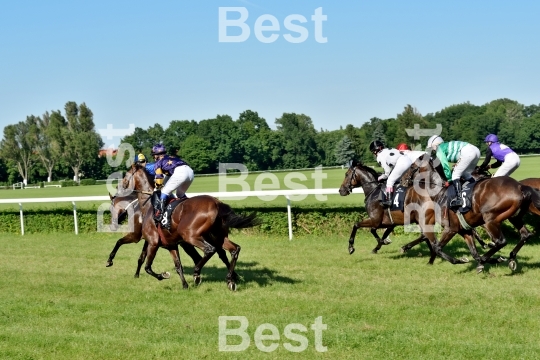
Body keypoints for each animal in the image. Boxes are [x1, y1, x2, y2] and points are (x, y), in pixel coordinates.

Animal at [106, 191, 237, 278]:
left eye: (110, 208)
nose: (112, 225)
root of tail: (217, 203)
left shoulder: (136, 236)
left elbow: (119, 242)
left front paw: (109, 261)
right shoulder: (150, 240)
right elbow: (142, 257)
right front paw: (137, 274)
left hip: (193, 238)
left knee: (207, 254)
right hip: (212, 237)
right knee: (221, 253)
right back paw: (233, 276)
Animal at [121, 165, 260, 292]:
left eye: (125, 175)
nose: (122, 186)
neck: (149, 206)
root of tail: (216, 203)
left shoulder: (153, 242)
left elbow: (148, 267)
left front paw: (163, 275)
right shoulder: (171, 245)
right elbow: (178, 266)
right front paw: (184, 285)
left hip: (191, 235)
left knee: (210, 250)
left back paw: (197, 274)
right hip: (217, 236)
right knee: (234, 249)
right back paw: (230, 279)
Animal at [400, 156, 540, 272]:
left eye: (412, 166)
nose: (402, 180)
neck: (440, 193)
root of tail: (520, 186)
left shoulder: (451, 228)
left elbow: (437, 248)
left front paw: (460, 260)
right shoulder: (464, 230)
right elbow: (474, 252)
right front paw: (492, 259)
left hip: (489, 220)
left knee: (501, 241)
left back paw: (488, 259)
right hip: (514, 217)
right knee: (525, 235)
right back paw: (510, 258)